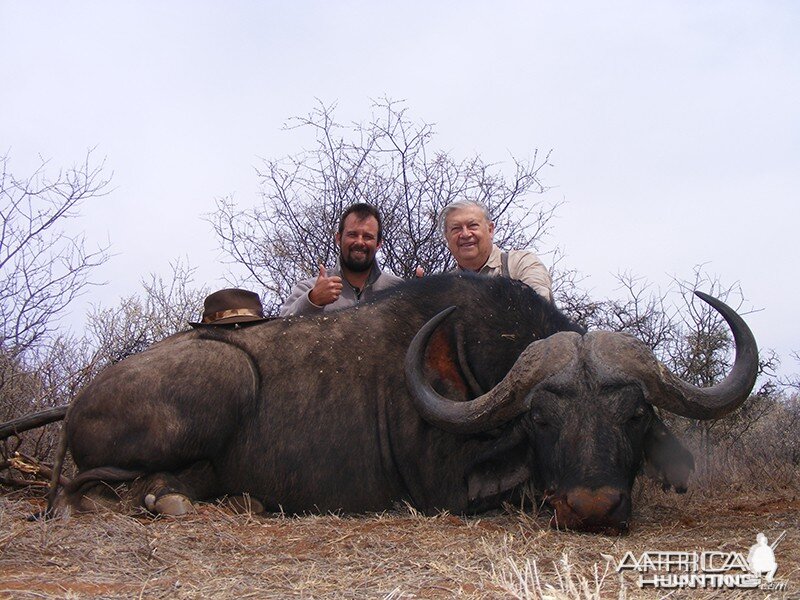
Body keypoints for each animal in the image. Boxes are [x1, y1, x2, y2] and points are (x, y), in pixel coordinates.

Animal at [48, 274, 756, 532]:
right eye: (540, 417)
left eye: (633, 416)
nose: (591, 508)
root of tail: (81, 399)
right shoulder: (450, 491)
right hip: (226, 377)